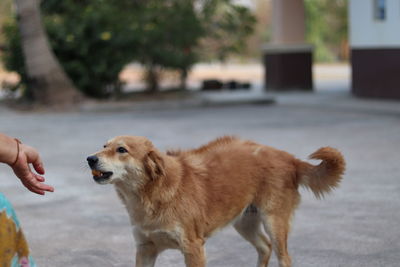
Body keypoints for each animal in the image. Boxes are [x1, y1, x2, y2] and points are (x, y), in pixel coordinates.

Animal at [86, 137, 344, 266]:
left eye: (121, 150)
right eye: (104, 146)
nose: (89, 159)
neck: (151, 194)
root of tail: (289, 158)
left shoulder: (193, 248)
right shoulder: (145, 248)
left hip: (274, 222)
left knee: (283, 256)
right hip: (244, 223)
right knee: (264, 246)